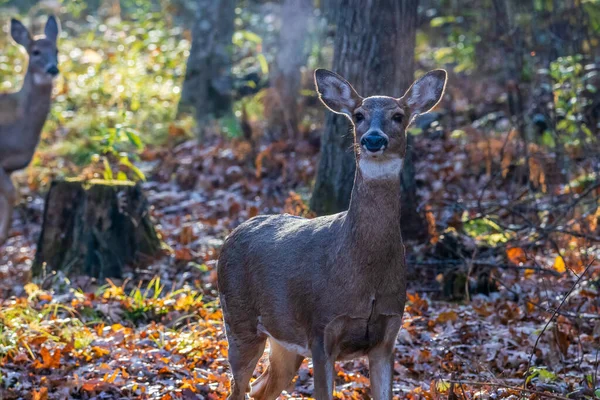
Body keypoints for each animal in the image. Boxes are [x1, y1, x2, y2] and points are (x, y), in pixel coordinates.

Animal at [0, 16, 60, 244]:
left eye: (57, 50)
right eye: (35, 52)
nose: (53, 69)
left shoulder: (9, 168)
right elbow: (11, 194)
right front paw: (2, 238)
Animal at [218, 67, 448, 398]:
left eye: (398, 116)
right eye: (358, 115)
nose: (373, 139)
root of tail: (232, 233)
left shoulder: (387, 336)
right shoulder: (321, 330)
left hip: (284, 339)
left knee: (262, 388)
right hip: (239, 320)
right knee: (237, 388)